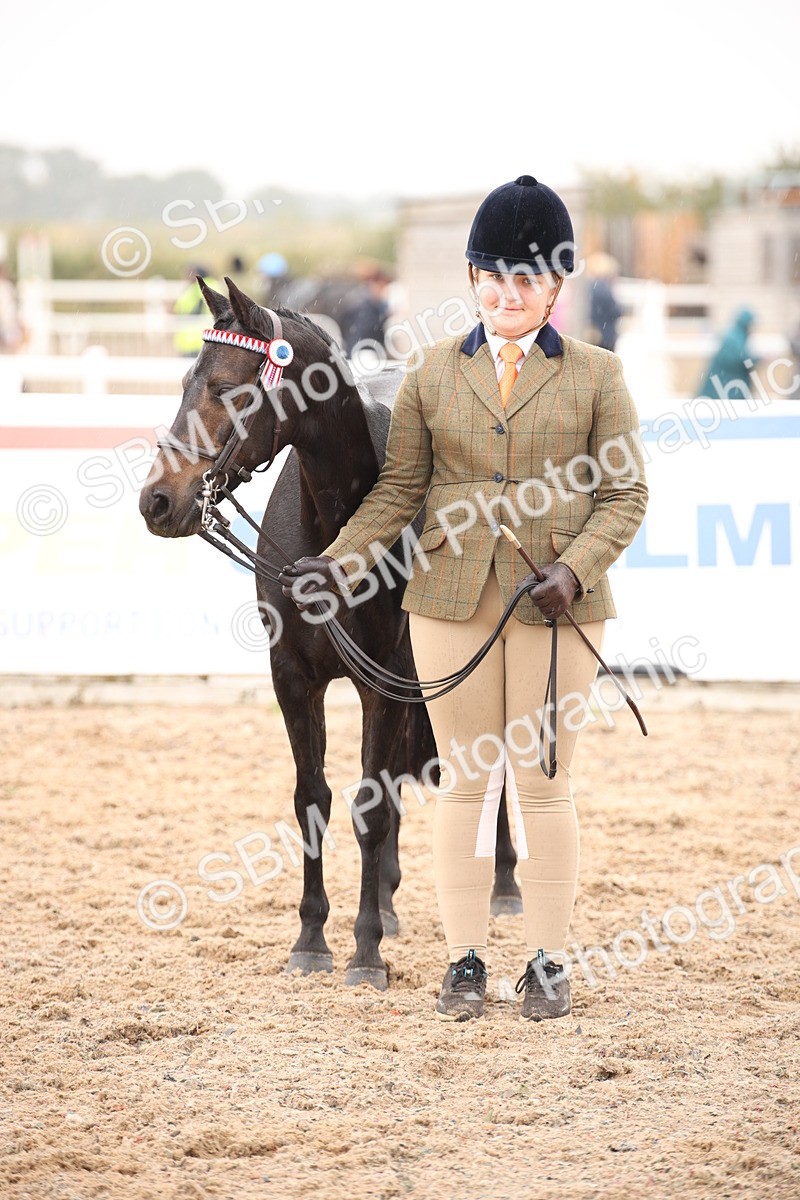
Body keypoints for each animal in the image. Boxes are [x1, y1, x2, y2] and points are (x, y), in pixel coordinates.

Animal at [139, 277, 521, 991]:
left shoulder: (385, 680)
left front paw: (366, 949)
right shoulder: (294, 677)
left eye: (227, 388)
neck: (339, 527)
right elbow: (313, 798)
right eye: (184, 382)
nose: (158, 501)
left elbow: (370, 807)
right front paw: (313, 938)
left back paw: (504, 883)